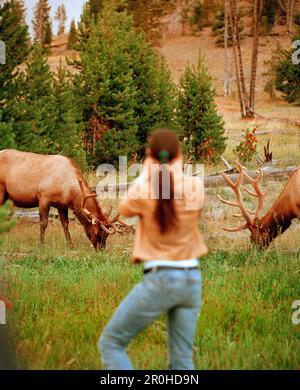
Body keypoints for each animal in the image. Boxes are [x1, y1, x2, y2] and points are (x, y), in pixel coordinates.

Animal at [0, 149, 132, 250]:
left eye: (106, 235)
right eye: (96, 232)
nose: (101, 249)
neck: (69, 191)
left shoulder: (62, 205)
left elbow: (65, 223)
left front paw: (70, 245)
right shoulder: (43, 197)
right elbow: (43, 223)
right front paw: (41, 244)